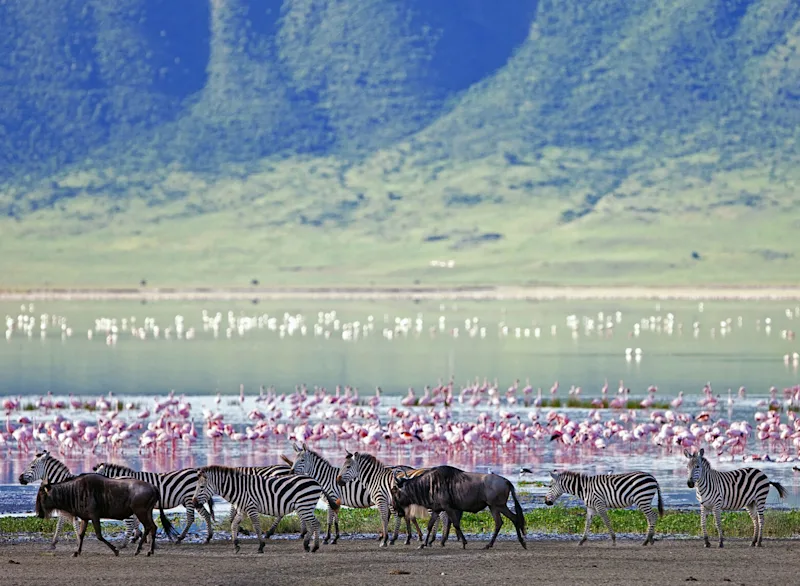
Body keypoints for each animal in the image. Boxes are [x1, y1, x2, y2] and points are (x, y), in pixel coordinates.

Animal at [191, 465, 337, 553]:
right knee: (312, 524)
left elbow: (256, 527)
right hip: (305, 507)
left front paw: (261, 546)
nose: (193, 502)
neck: (239, 489)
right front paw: (236, 545)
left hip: (305, 505)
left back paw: (314, 547)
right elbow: (233, 525)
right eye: (196, 487)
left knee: (315, 523)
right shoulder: (242, 510)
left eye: (201, 487)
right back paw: (307, 545)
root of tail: (315, 481)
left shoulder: (251, 508)